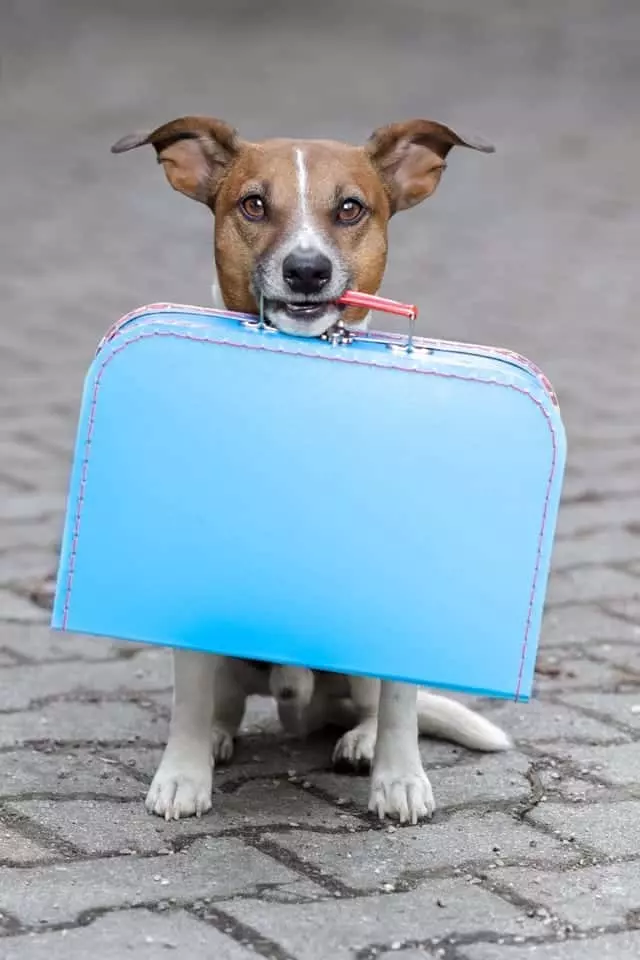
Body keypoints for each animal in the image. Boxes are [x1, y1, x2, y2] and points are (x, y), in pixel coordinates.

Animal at [112, 114, 508, 824]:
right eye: (252, 205)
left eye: (350, 208)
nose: (305, 270)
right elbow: (188, 699)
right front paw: (182, 775)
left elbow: (403, 705)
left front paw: (399, 778)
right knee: (223, 700)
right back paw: (219, 736)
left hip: (354, 677)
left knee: (368, 706)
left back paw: (361, 742)